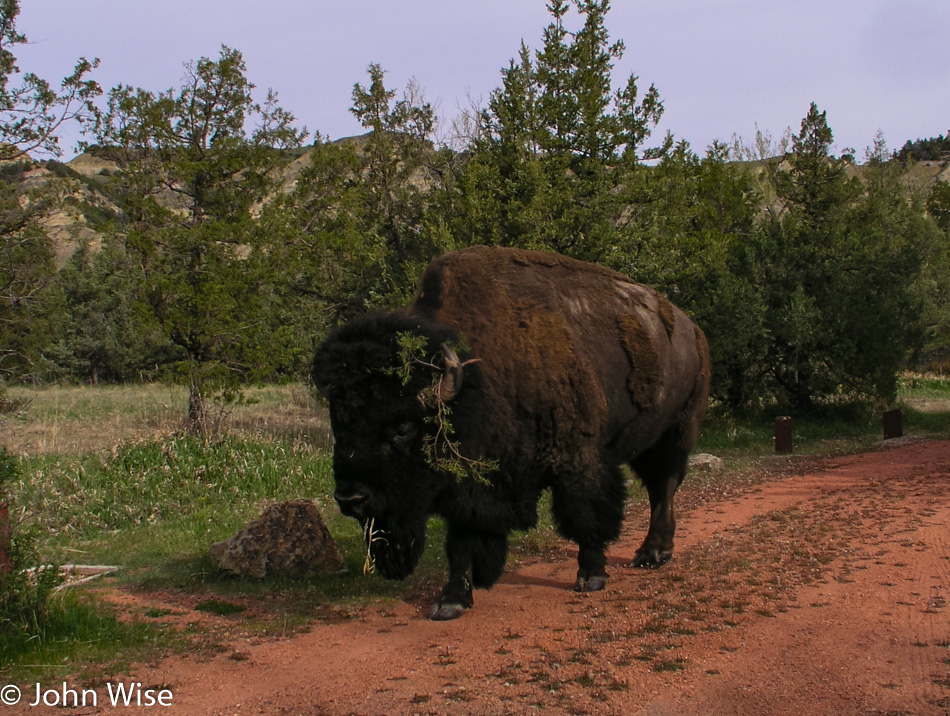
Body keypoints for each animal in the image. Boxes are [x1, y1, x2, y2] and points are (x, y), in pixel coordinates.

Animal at [316, 248, 712, 620]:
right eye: (339, 423)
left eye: (402, 427)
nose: (350, 498)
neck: (477, 382)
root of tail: (693, 331)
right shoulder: (471, 486)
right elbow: (460, 542)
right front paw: (451, 601)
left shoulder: (579, 462)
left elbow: (586, 516)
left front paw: (591, 577)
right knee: (660, 486)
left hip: (675, 433)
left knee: (664, 487)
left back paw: (651, 553)